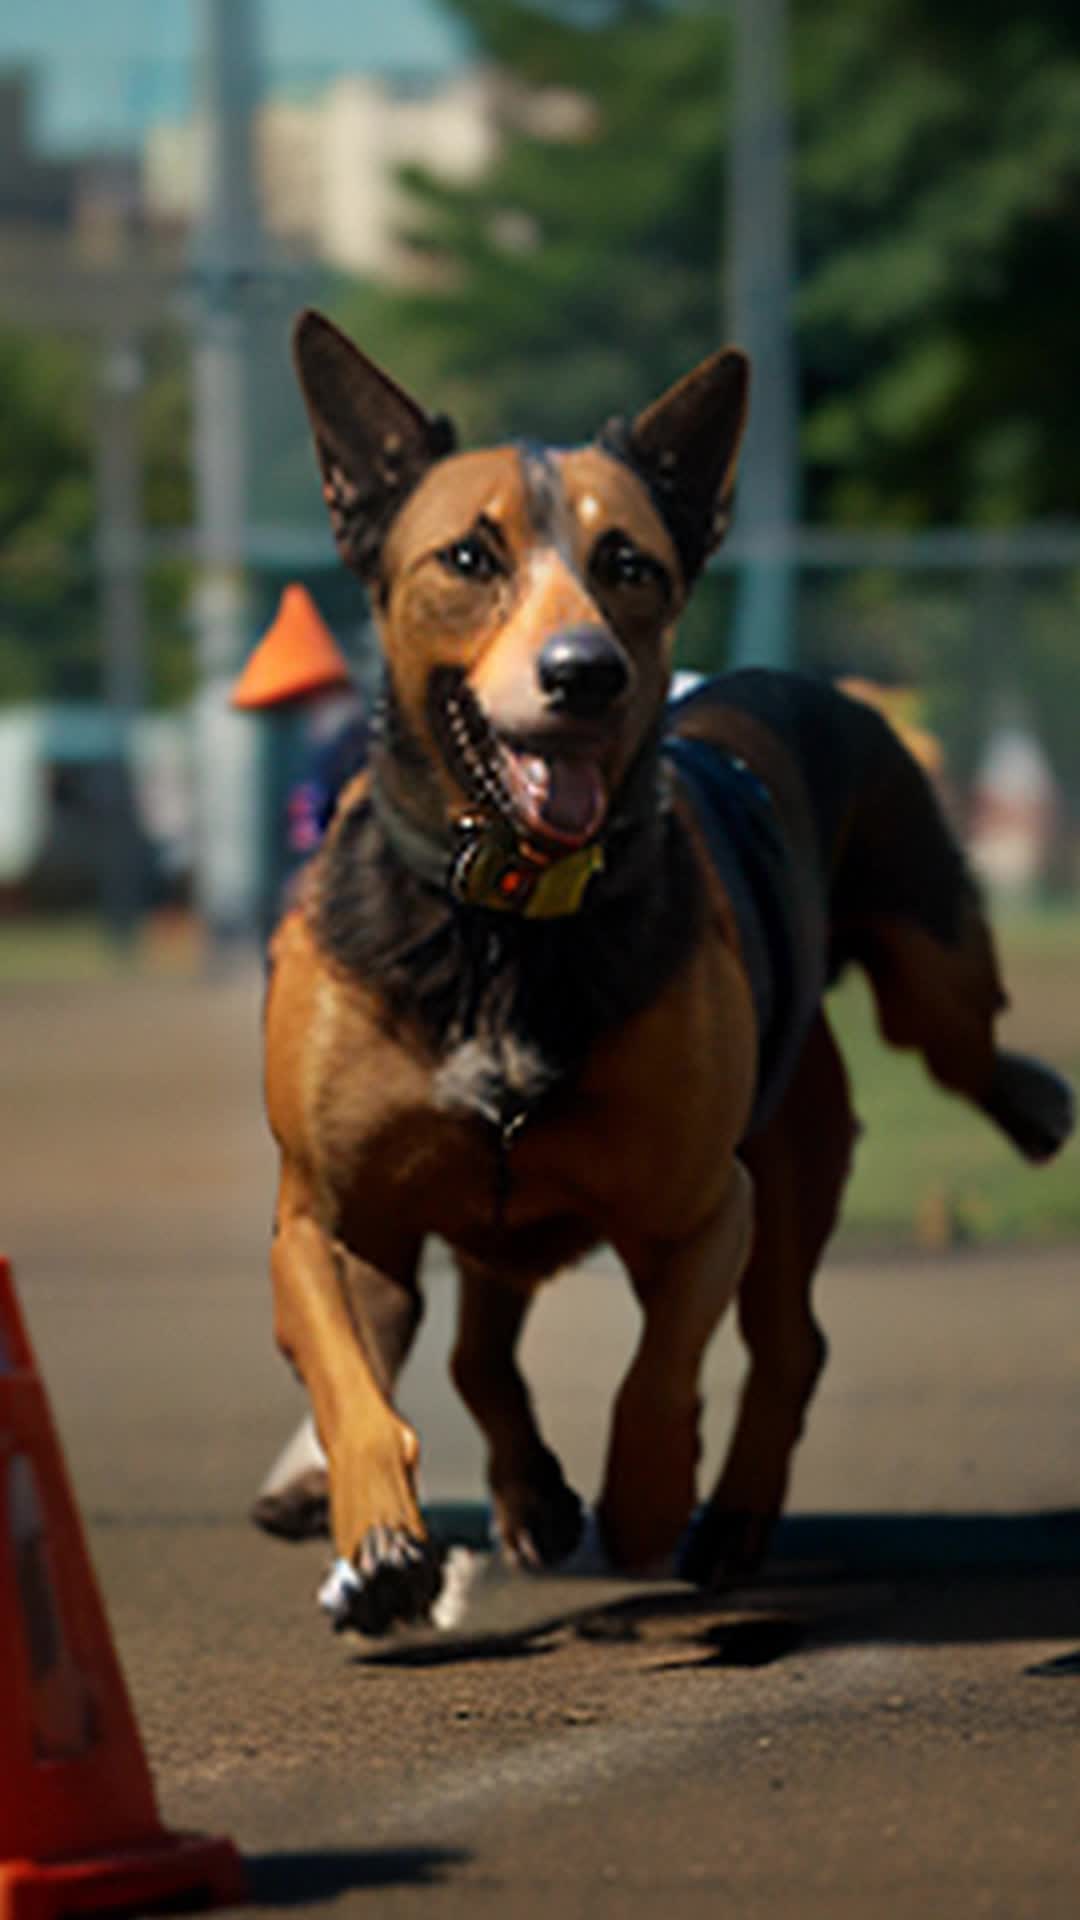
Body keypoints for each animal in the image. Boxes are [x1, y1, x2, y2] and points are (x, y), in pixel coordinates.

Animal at [261, 314, 1068, 1635]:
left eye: (629, 562)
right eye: (469, 555)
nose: (586, 671)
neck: (507, 917)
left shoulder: (703, 1206)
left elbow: (662, 1366)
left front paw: (644, 1498)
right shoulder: (328, 1213)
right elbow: (350, 1377)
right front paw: (376, 1540)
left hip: (902, 1002)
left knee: (808, 1312)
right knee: (482, 1345)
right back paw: (519, 1501)